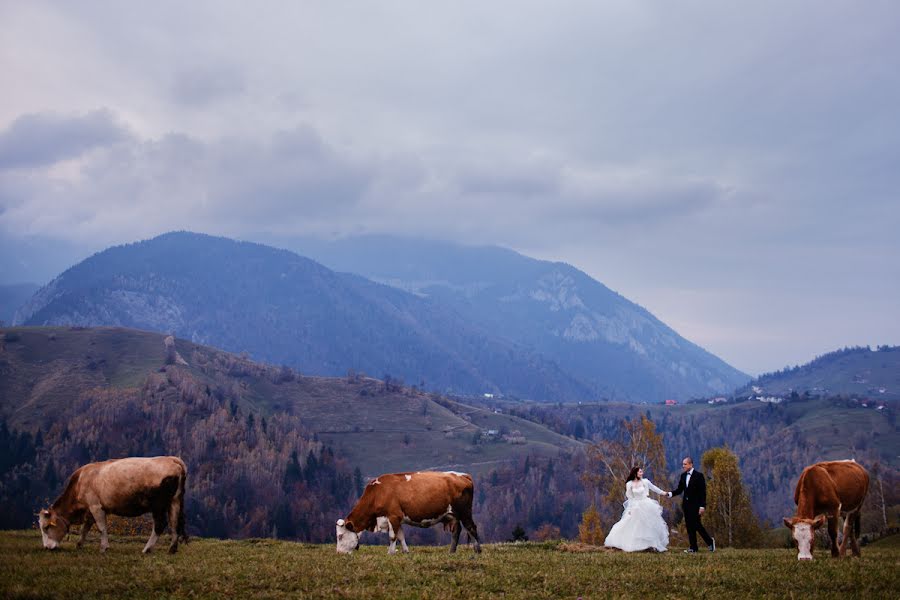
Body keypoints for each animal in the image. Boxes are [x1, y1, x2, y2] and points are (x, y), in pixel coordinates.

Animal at [37, 458, 189, 556]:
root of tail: (171, 459)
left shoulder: (95, 506)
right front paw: (79, 545)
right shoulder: (90, 510)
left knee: (160, 525)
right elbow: (84, 529)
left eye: (46, 527)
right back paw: (172, 549)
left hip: (158, 505)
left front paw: (104, 548)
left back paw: (147, 549)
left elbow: (101, 528)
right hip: (175, 501)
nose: (46, 548)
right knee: (174, 523)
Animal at [336, 472, 482, 556]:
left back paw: (478, 550)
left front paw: (390, 553)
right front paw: (405, 551)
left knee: (471, 528)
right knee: (457, 531)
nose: (339, 553)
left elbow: (392, 537)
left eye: (340, 536)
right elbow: (401, 536)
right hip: (453, 515)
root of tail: (463, 475)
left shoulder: (393, 516)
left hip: (465, 512)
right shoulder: (398, 519)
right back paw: (451, 552)